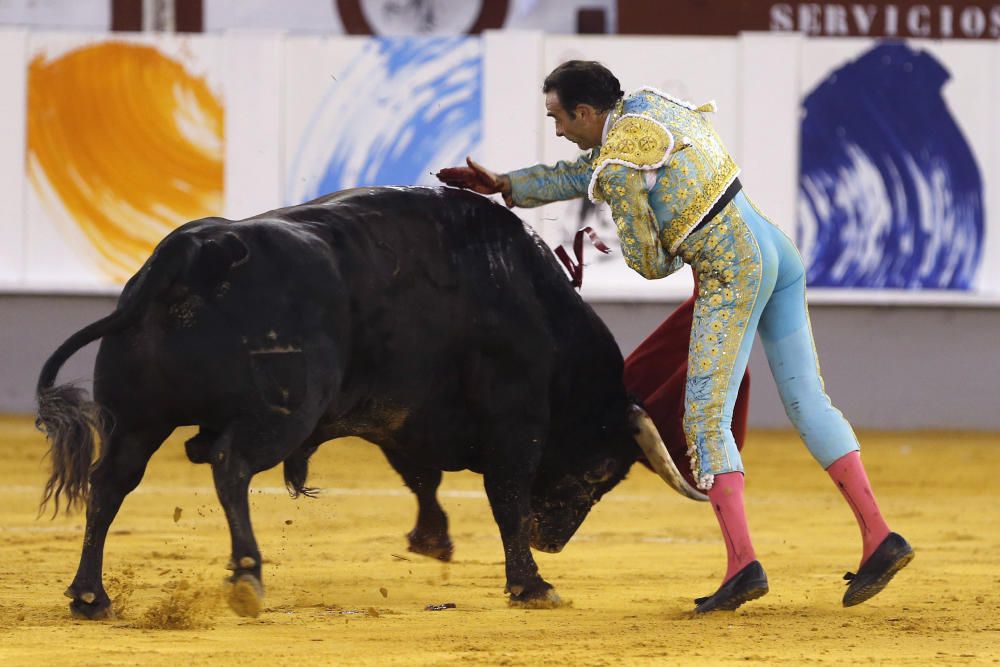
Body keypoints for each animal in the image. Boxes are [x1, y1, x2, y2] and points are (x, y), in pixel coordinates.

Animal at [35, 184, 700, 620]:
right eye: (600, 472)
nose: (552, 540)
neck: (529, 300)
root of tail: (194, 252)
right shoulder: (516, 424)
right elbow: (506, 499)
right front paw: (531, 584)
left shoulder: (402, 417)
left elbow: (421, 477)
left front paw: (433, 540)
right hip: (281, 414)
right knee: (230, 466)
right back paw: (247, 575)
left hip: (136, 420)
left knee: (110, 483)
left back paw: (91, 596)